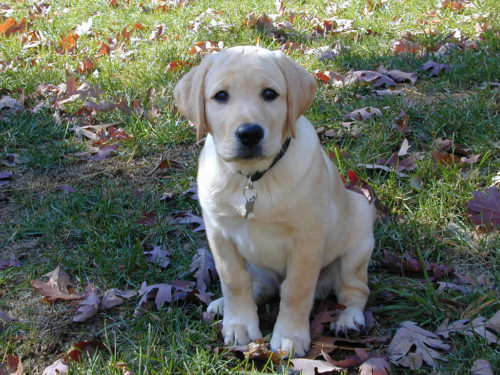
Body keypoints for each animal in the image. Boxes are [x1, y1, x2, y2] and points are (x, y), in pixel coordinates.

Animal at [176, 45, 376, 356]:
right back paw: (223, 306)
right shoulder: (219, 234)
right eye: (220, 96)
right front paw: (240, 324)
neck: (253, 178)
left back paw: (348, 319)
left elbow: (296, 290)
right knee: (259, 286)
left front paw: (290, 336)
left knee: (354, 289)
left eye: (270, 94)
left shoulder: (307, 238)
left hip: (359, 232)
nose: (249, 133)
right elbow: (234, 281)